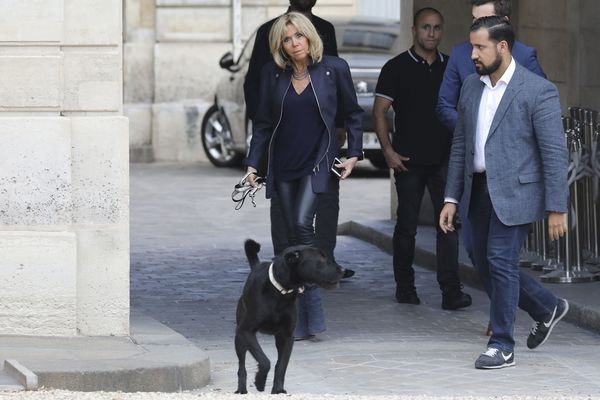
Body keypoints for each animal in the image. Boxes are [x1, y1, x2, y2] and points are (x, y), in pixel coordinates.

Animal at [236, 238, 344, 394]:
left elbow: (281, 365)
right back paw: (241, 389)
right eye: (322, 259)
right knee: (241, 366)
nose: (343, 270)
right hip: (239, 337)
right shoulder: (247, 331)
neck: (281, 292)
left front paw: (278, 390)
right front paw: (260, 381)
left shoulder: (287, 337)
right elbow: (264, 360)